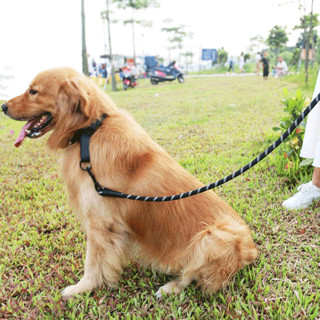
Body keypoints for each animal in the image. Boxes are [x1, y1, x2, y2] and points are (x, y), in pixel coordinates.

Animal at [2, 67, 258, 298]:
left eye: (33, 91)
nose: (3, 106)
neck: (89, 131)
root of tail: (252, 251)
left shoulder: (100, 222)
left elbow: (91, 261)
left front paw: (82, 288)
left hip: (215, 237)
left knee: (191, 274)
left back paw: (170, 288)